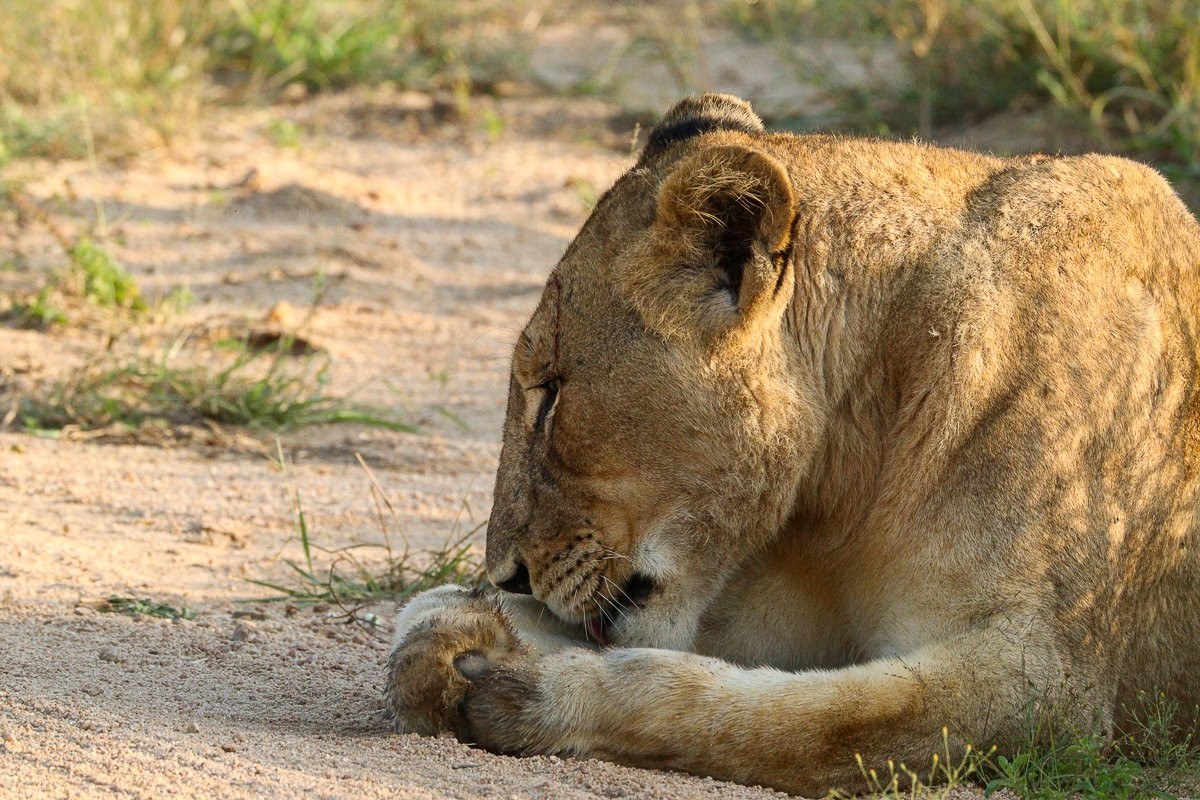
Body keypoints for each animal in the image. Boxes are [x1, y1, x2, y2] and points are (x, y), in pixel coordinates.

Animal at [384, 93, 1200, 796]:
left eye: (551, 394)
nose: (507, 572)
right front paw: (462, 624)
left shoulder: (1047, 684)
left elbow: (779, 720)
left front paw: (533, 687)